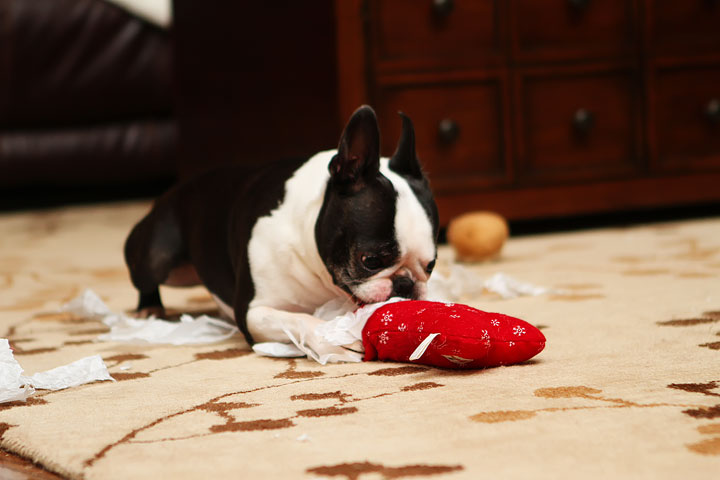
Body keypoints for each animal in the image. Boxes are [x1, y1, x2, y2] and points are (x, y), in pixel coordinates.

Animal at [124, 105, 438, 358]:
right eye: (370, 260)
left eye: (431, 265)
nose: (405, 284)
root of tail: (172, 191)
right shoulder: (253, 312)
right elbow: (297, 319)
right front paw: (331, 340)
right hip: (160, 258)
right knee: (144, 272)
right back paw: (149, 307)